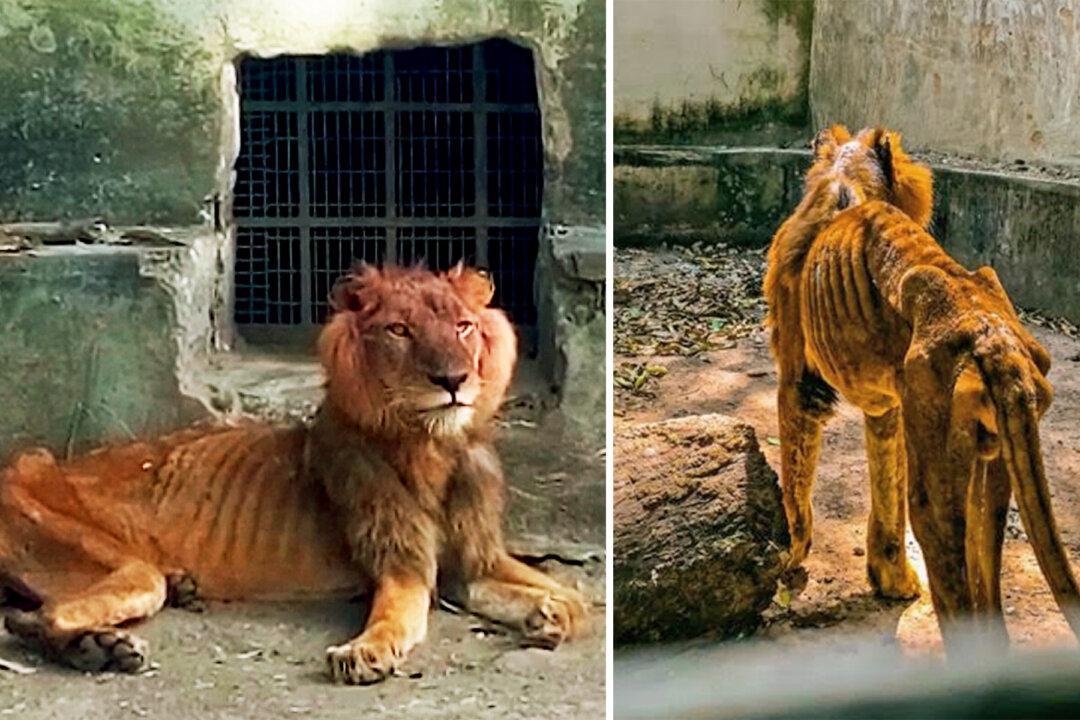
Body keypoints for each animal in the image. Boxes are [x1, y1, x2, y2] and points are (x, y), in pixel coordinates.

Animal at [0, 263, 588, 682]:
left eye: (464, 327)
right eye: (399, 330)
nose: (454, 380)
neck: (432, 447)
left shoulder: (471, 562)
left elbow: (569, 596)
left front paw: (550, 613)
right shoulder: (401, 564)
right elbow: (394, 617)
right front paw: (363, 654)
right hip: (106, 556)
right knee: (37, 618)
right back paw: (103, 649)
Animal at [764, 125, 1080, 647]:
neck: (849, 177)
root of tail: (994, 339)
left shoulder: (797, 381)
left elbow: (796, 479)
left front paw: (788, 556)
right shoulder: (889, 405)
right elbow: (885, 482)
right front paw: (892, 578)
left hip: (938, 494)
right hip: (994, 471)